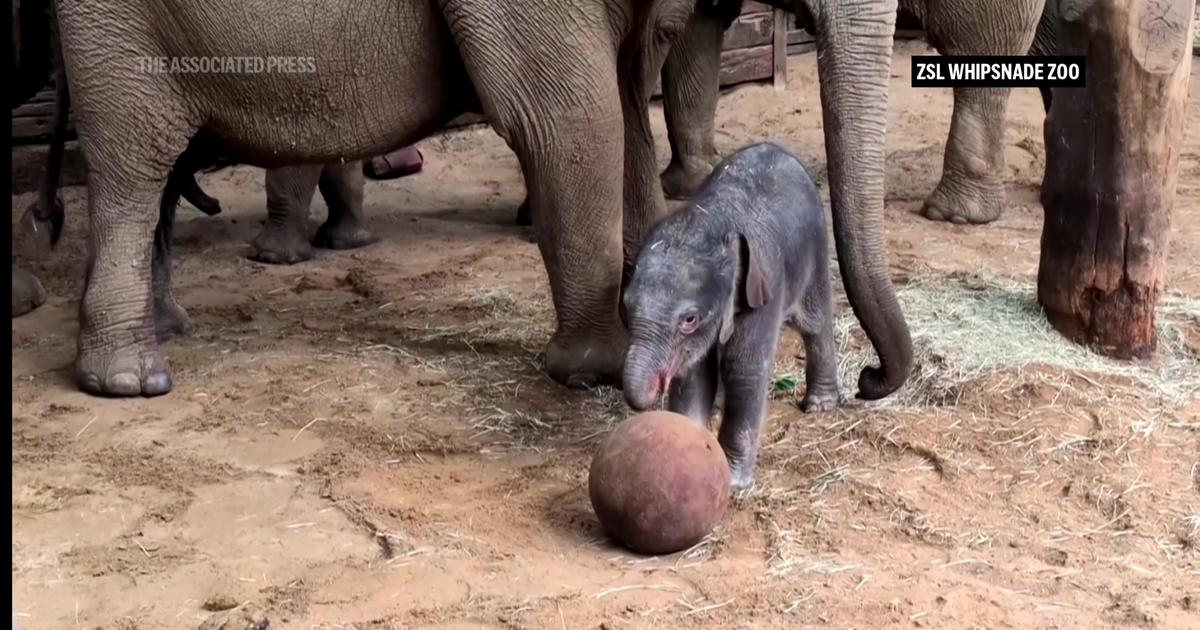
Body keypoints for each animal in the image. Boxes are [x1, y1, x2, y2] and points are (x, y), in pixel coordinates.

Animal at [45, 0, 702, 397]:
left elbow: (627, 112)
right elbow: (567, 123)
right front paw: (599, 373)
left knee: (160, 170)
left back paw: (166, 330)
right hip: (115, 30)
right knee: (136, 165)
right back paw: (129, 382)